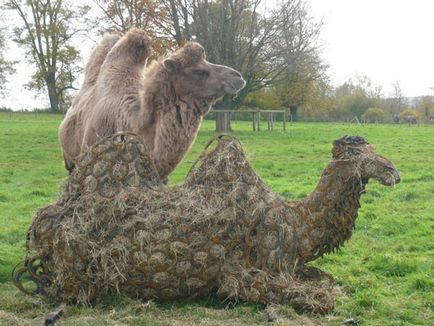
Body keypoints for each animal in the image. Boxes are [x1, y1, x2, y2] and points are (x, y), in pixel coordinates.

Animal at [19, 135, 400, 314]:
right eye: (359, 154)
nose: (394, 171)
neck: (297, 224)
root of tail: (42, 226)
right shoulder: (240, 275)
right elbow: (322, 297)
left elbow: (326, 280)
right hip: (81, 276)